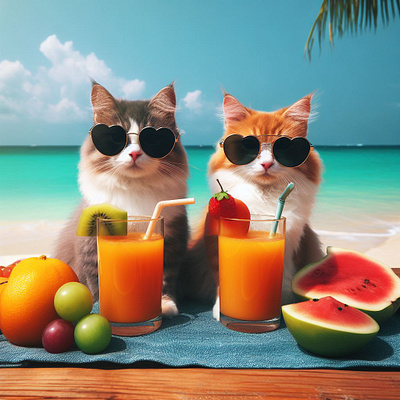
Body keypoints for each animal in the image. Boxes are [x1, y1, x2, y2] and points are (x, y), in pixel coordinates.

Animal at [53, 83, 189, 318]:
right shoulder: (91, 246)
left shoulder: (172, 240)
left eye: (152, 139)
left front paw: (165, 305)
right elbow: (98, 281)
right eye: (116, 138)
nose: (134, 154)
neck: (134, 190)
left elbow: (165, 279)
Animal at [183, 92, 324, 314]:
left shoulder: (293, 243)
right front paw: (221, 308)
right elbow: (221, 280)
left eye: (284, 148)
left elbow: (283, 281)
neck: (264, 197)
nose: (266, 163)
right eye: (248, 146)